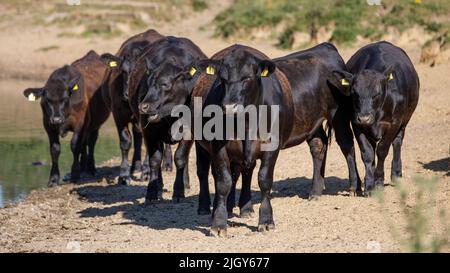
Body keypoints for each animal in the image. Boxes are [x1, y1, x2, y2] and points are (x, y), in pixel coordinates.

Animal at [332, 40, 420, 193]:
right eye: (354, 93)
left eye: (377, 93)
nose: (364, 118)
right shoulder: (357, 124)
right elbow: (367, 153)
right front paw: (369, 185)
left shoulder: (394, 123)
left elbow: (382, 150)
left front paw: (378, 181)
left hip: (405, 121)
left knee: (397, 142)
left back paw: (396, 173)